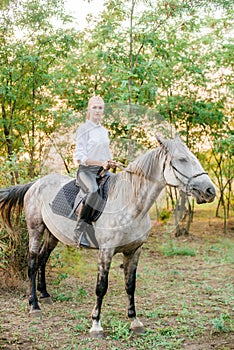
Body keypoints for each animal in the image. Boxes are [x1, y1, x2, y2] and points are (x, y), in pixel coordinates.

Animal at [0, 135, 216, 338]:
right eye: (182, 159)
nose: (210, 190)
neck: (130, 203)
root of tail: (35, 184)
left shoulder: (134, 251)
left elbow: (130, 285)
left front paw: (135, 321)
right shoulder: (106, 251)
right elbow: (101, 287)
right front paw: (96, 325)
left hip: (53, 234)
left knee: (43, 259)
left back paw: (44, 294)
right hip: (35, 229)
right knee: (32, 263)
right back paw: (34, 305)